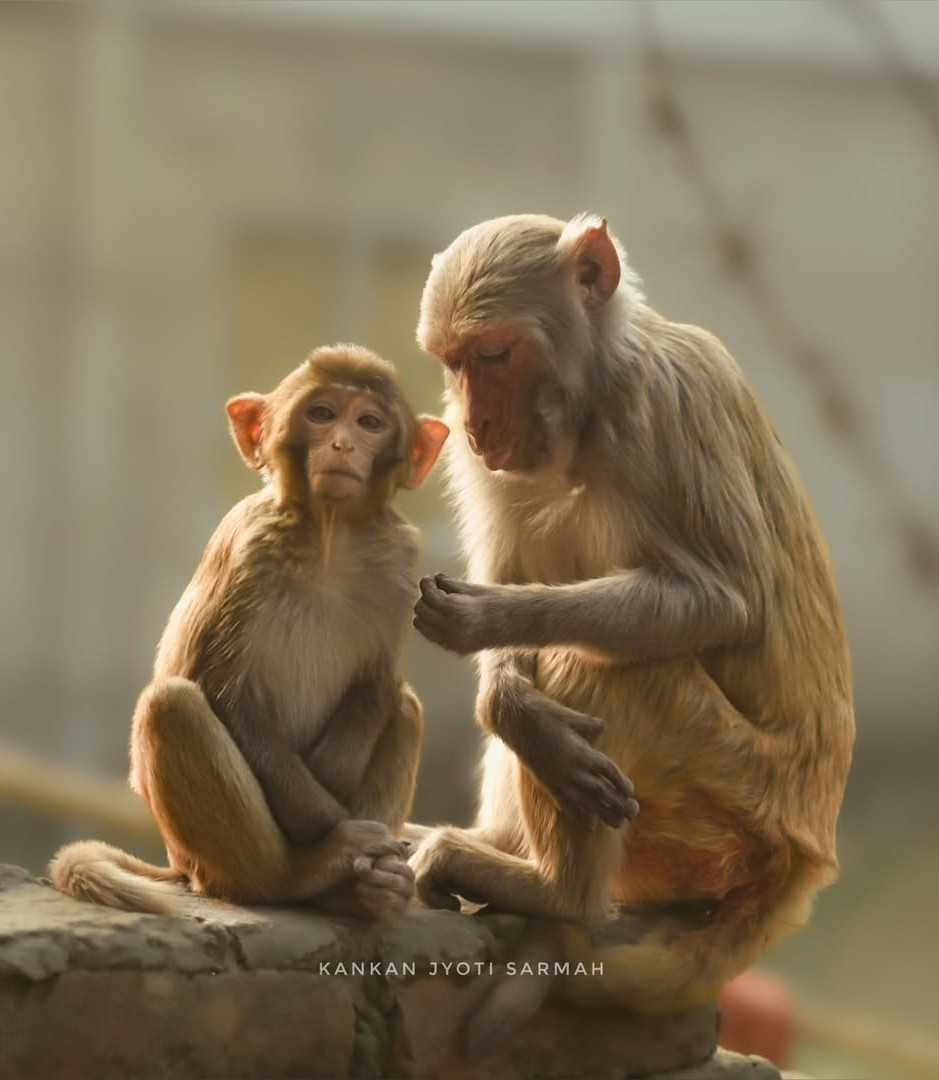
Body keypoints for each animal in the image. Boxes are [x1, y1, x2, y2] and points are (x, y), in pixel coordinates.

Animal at [50, 345, 449, 923]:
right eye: (322, 414)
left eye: (369, 422)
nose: (342, 444)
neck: (330, 536)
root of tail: (179, 865)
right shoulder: (247, 551)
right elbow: (226, 696)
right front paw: (340, 829)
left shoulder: (401, 564)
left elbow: (377, 687)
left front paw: (338, 780)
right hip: (202, 859)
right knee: (172, 706)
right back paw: (305, 873)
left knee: (405, 708)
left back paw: (363, 892)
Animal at [408, 213, 854, 1039]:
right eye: (454, 363)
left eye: (495, 354)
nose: (476, 423)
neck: (587, 414)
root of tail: (801, 868)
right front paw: (508, 701)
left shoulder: (668, 407)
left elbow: (723, 602)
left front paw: (492, 616)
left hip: (733, 809)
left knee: (599, 670)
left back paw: (558, 894)